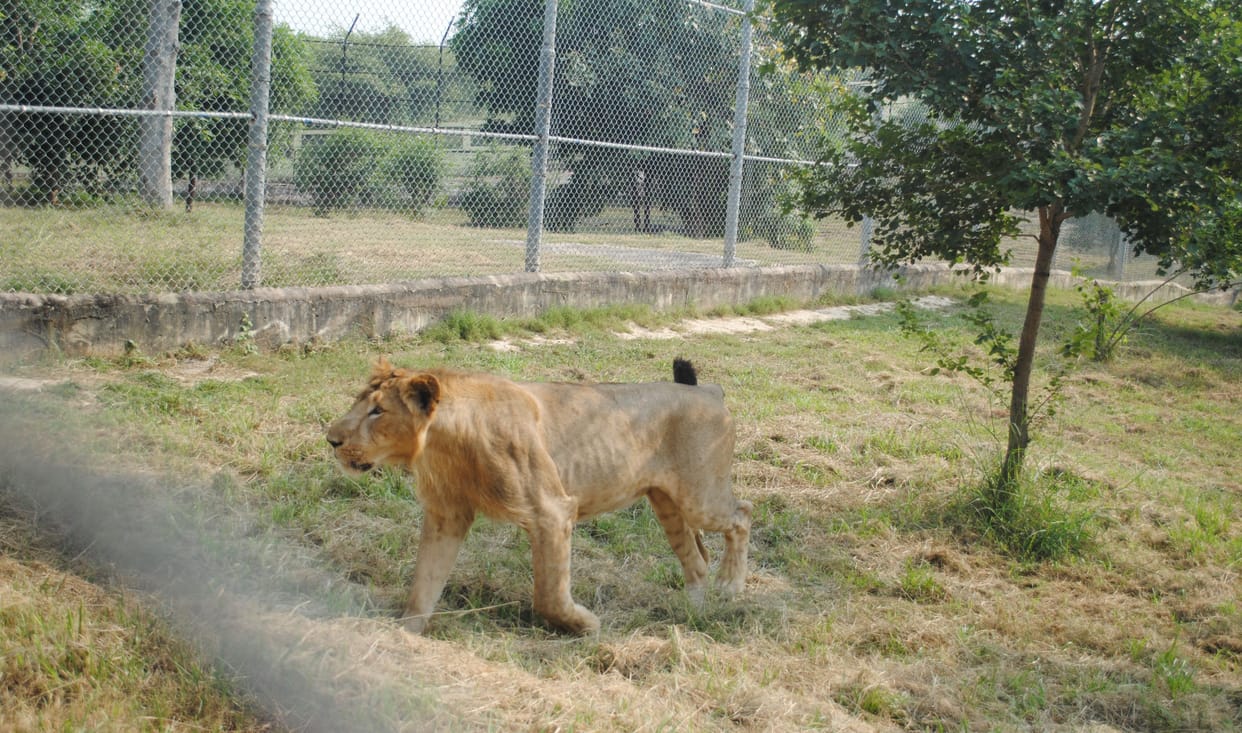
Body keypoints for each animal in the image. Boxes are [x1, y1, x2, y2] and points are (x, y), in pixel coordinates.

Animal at [325, 357, 752, 634]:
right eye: (358, 403)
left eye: (377, 411)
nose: (331, 439)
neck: (444, 443)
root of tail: (711, 391)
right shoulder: (447, 514)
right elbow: (424, 582)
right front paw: (405, 634)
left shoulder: (552, 511)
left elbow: (548, 594)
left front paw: (585, 624)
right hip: (666, 503)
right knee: (696, 561)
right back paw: (692, 613)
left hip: (700, 497)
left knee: (742, 514)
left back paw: (731, 585)